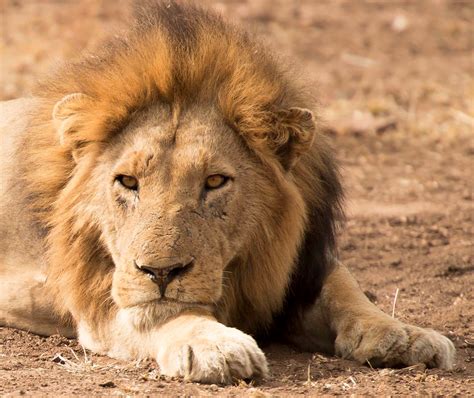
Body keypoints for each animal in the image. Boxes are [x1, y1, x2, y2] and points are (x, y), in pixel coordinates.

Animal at [0, 0, 454, 386]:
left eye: (215, 182)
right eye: (127, 181)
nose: (161, 272)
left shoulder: (300, 271)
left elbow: (345, 288)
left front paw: (405, 335)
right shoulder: (93, 296)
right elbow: (156, 313)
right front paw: (212, 344)